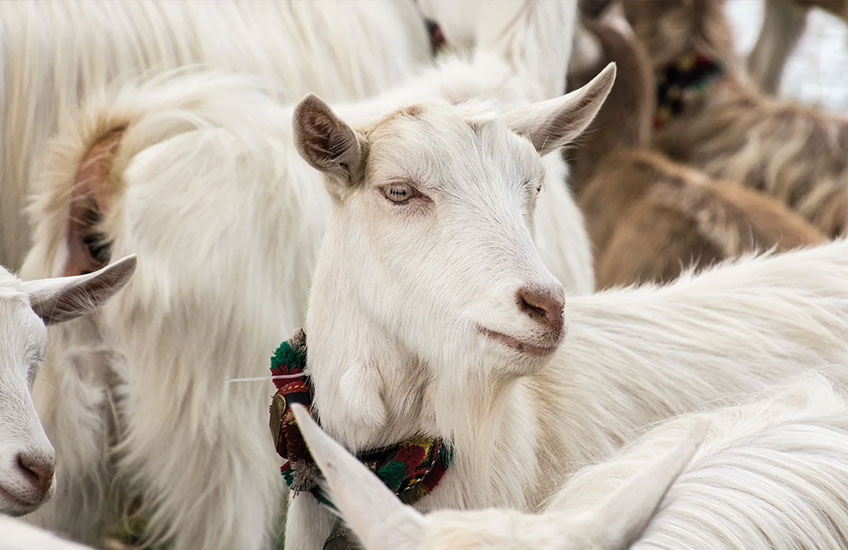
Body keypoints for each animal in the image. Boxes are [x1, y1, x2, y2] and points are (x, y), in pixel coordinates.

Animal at [22, 4, 586, 547]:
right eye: (399, 192)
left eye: (531, 186)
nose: (545, 306)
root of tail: (105, 178)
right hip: (211, 446)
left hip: (62, 425)